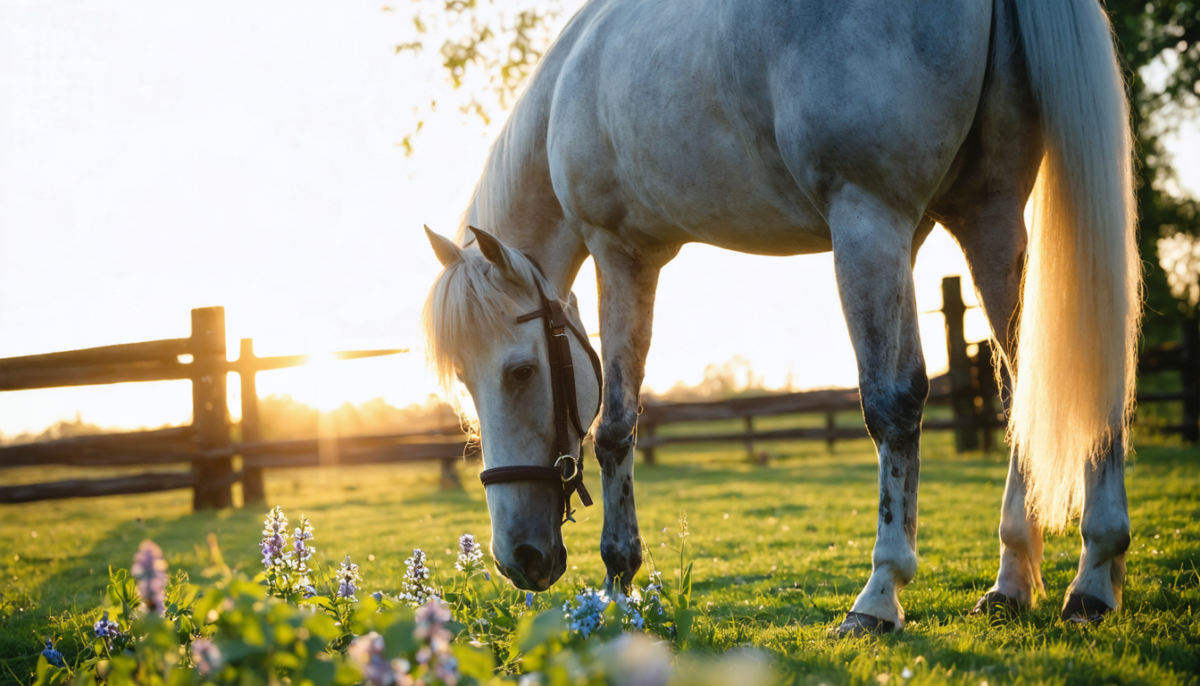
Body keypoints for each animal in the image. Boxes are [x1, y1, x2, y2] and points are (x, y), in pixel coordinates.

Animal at [422, 0, 1140, 635]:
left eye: (520, 372)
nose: (518, 558)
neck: (569, 90)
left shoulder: (624, 252)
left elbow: (616, 428)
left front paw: (618, 587)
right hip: (984, 213)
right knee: (1041, 389)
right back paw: (1057, 579)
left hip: (867, 219)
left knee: (894, 405)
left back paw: (881, 596)